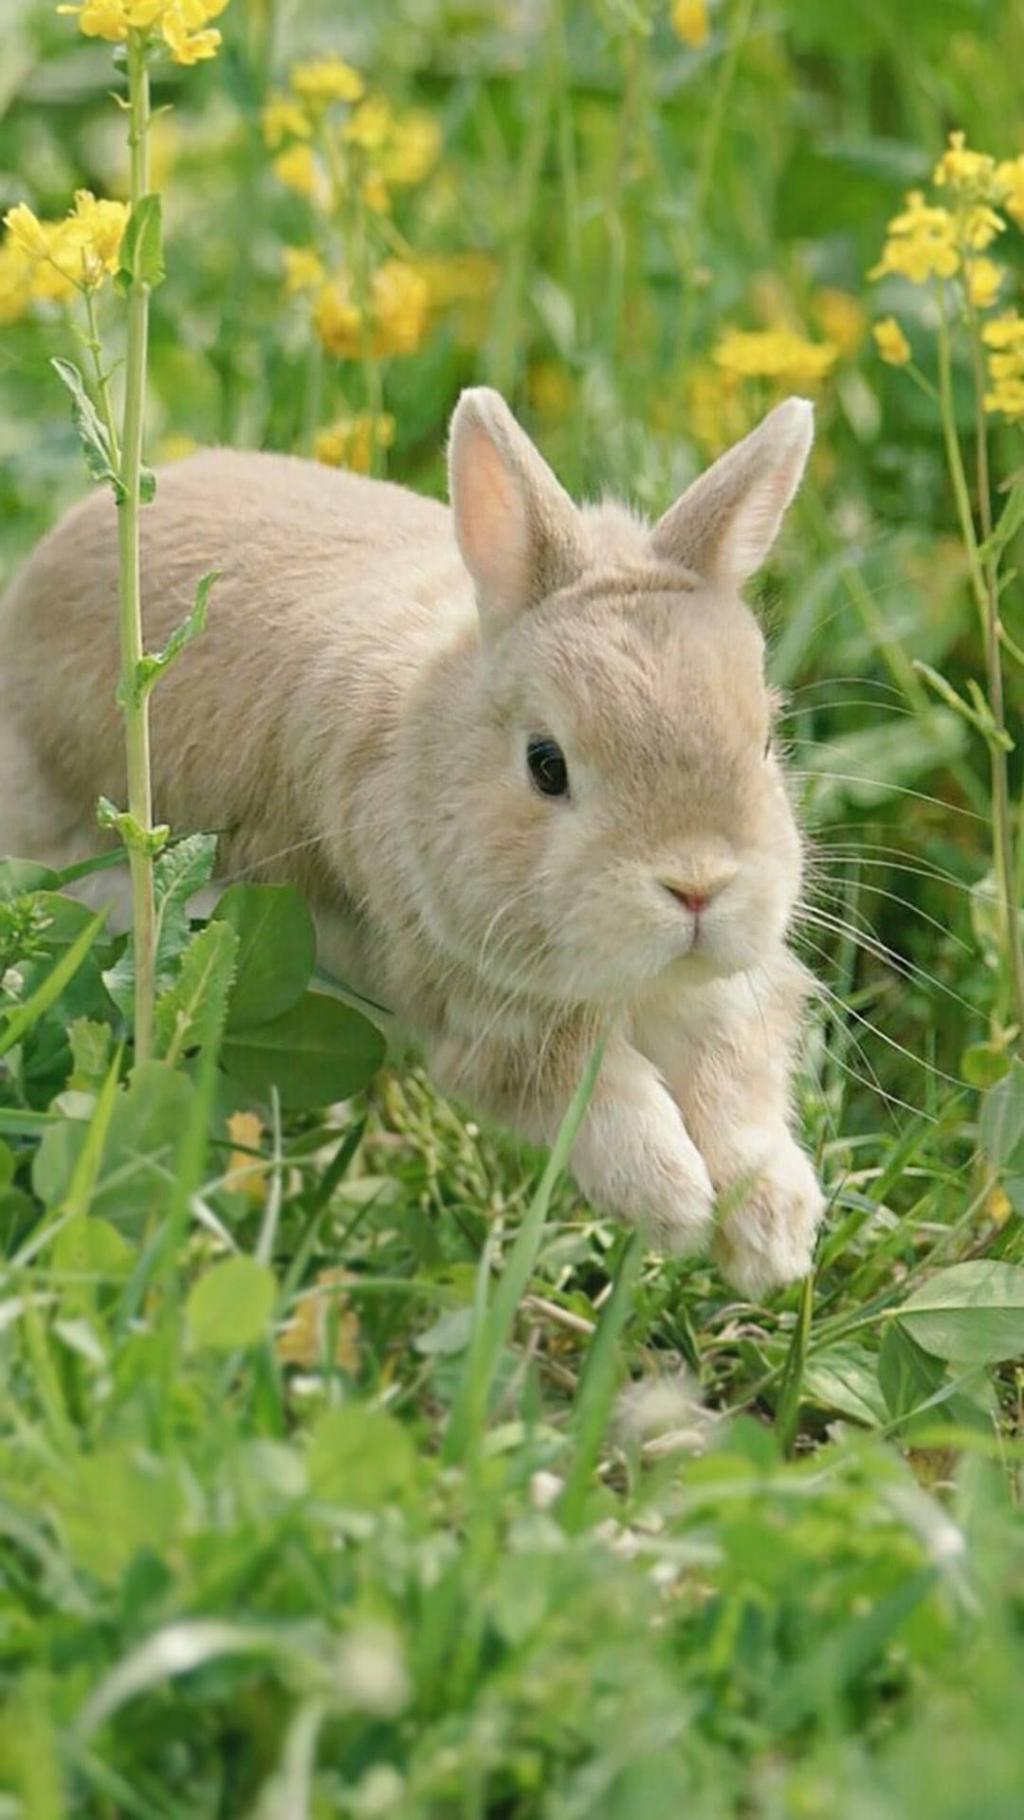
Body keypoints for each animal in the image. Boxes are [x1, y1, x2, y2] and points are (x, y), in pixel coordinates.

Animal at [0, 387, 824, 1296]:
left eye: (766, 742)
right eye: (546, 765)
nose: (698, 887)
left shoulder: (718, 999)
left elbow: (735, 1080)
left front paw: (773, 1234)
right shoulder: (485, 1014)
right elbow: (591, 1093)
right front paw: (676, 1200)